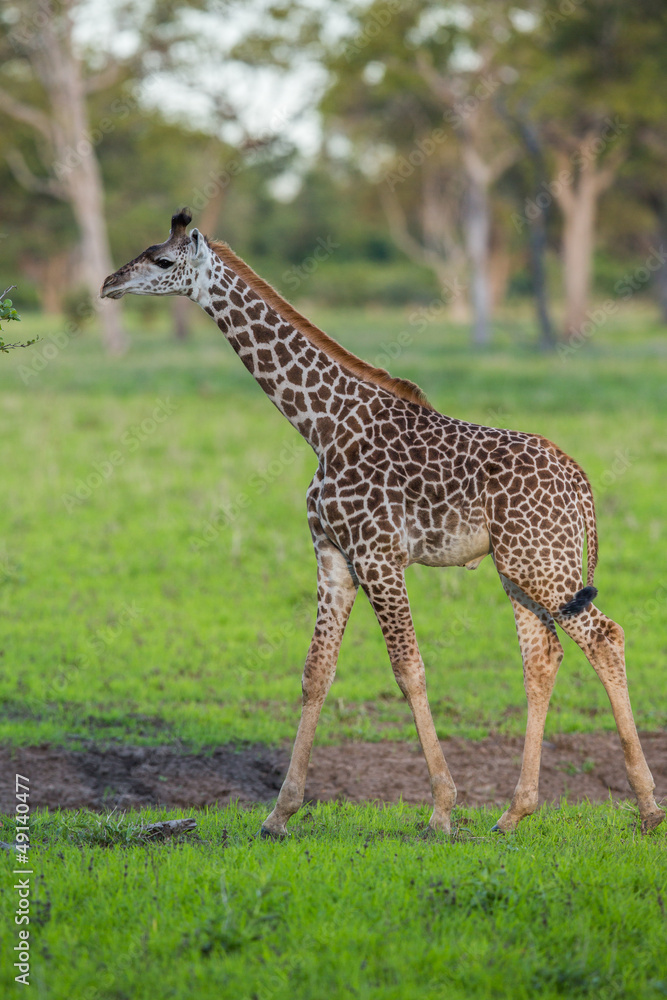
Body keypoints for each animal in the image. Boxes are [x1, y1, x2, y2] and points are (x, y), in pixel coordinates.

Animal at [101, 210, 664, 837]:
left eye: (163, 260)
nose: (108, 284)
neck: (322, 426)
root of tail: (581, 482)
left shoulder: (378, 555)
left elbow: (408, 669)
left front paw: (441, 811)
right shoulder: (332, 554)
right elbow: (317, 671)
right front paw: (279, 813)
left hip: (543, 564)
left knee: (604, 637)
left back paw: (646, 808)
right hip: (521, 567)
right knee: (543, 658)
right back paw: (514, 813)